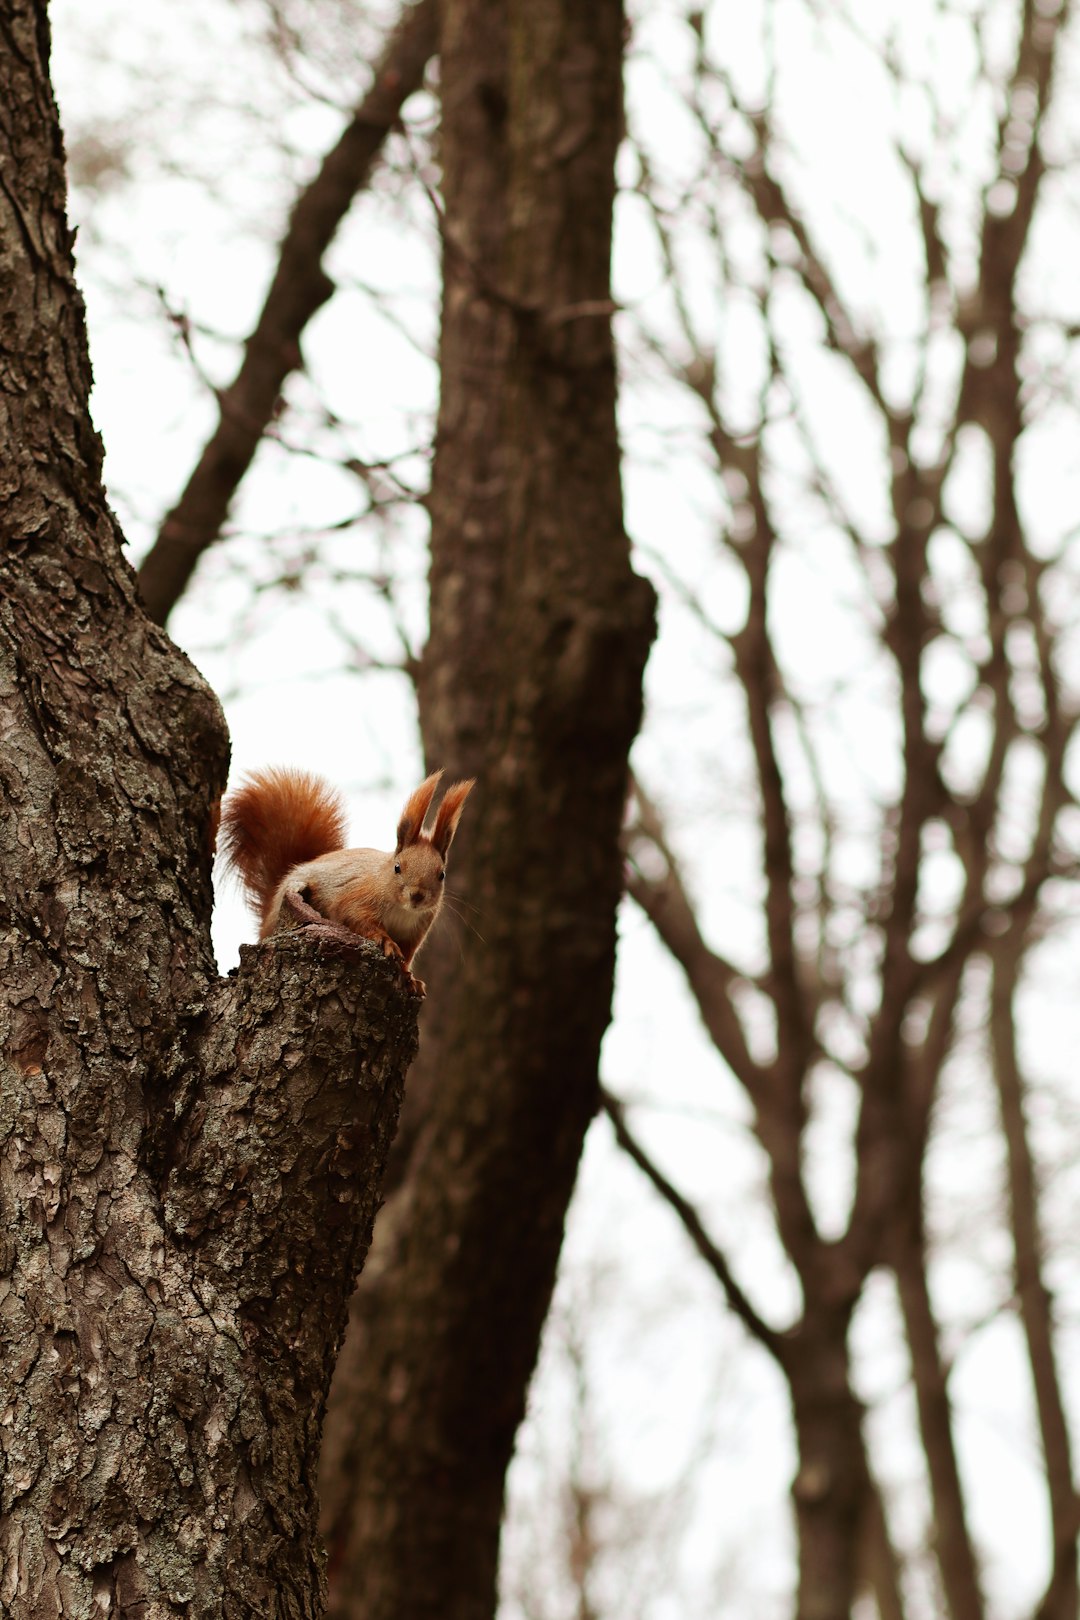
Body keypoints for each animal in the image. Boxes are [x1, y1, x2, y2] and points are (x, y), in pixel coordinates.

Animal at [220, 764, 472, 991]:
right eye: (398, 867)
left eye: (441, 874)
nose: (417, 896)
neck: (402, 909)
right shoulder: (357, 896)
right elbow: (355, 917)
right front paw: (386, 942)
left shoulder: (416, 930)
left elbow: (407, 955)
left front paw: (410, 978)